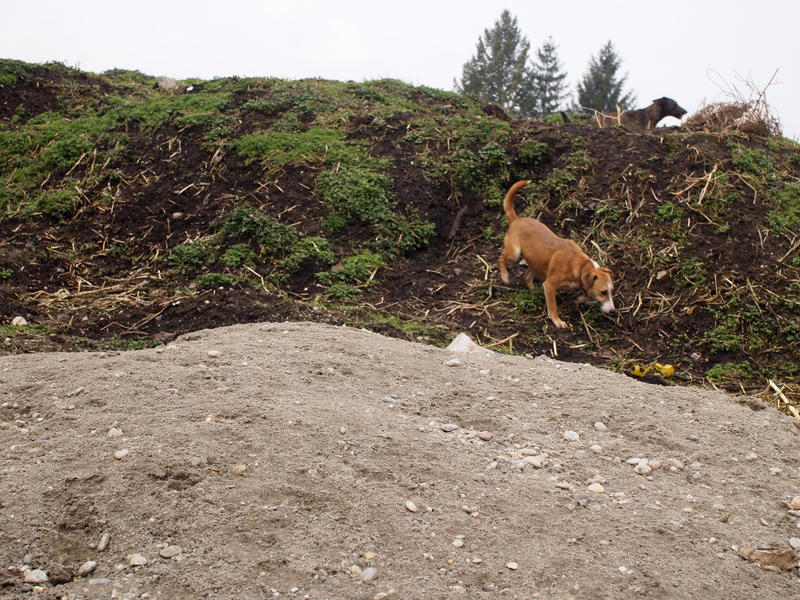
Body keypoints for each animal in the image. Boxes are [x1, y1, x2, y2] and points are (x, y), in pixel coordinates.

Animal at [496, 180, 616, 330]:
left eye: (611, 291)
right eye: (603, 292)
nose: (613, 311)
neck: (581, 265)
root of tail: (516, 220)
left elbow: (584, 294)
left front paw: (578, 299)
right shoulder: (550, 285)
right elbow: (552, 306)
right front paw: (557, 320)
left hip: (535, 261)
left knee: (527, 276)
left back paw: (534, 291)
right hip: (514, 254)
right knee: (501, 259)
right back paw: (505, 277)